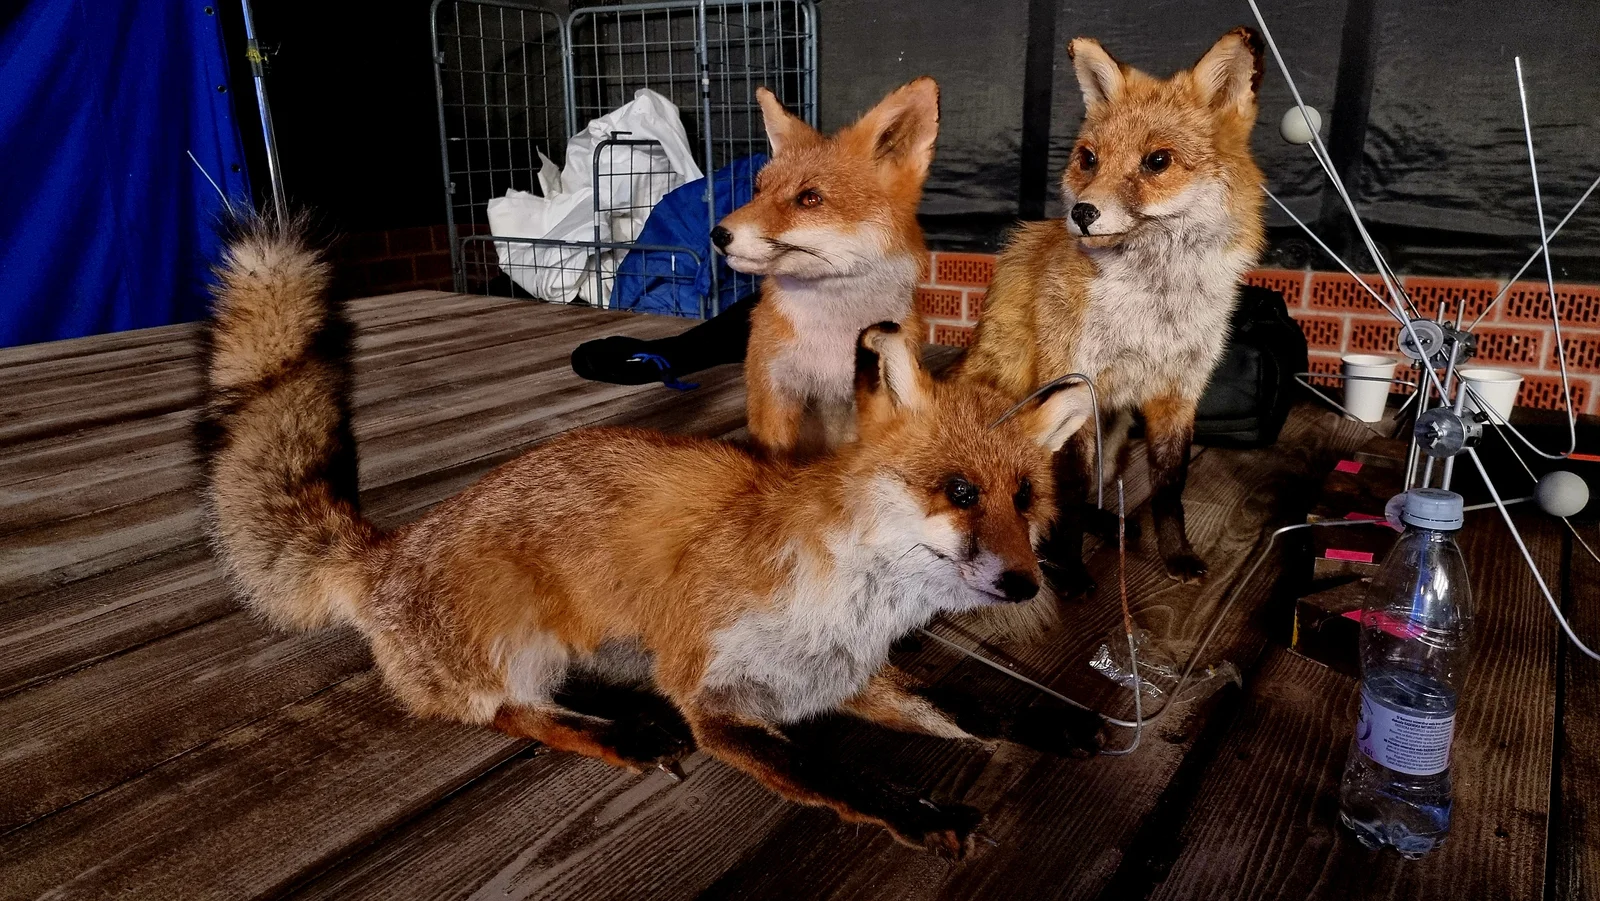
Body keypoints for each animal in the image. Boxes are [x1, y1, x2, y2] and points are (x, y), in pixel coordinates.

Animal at [197, 218, 1105, 858]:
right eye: (960, 491)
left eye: (1024, 500)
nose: (1026, 583)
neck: (848, 608)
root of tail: (389, 549)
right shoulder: (712, 697)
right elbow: (835, 773)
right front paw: (919, 813)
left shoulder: (839, 678)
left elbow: (966, 704)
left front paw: (1049, 722)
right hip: (516, 630)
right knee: (506, 711)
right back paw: (622, 729)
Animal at [962, 27, 1267, 595]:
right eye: (1088, 159)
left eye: (1157, 161)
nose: (1081, 213)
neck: (1155, 305)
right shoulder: (1074, 385)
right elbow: (1068, 495)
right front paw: (1069, 571)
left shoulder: (1178, 393)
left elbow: (1169, 490)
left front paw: (1177, 556)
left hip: (1119, 431)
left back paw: (1108, 523)